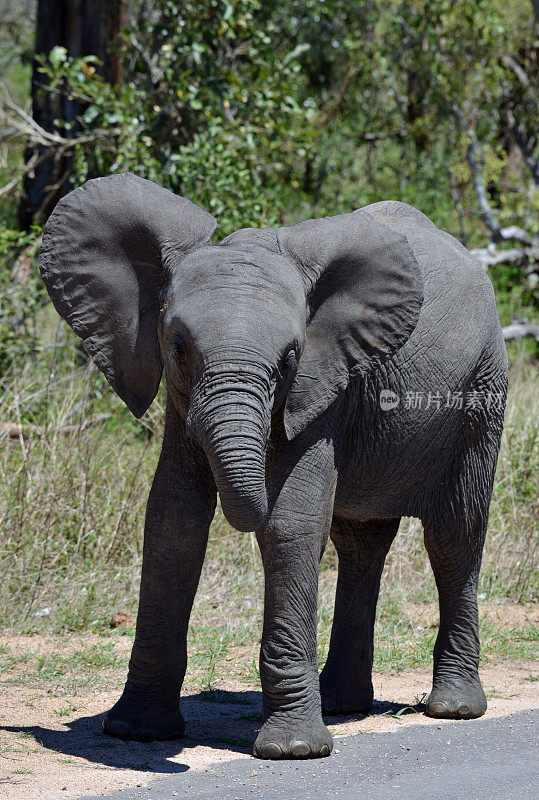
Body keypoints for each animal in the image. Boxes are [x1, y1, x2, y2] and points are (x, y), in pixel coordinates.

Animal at [40, 172, 508, 760]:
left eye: (289, 358)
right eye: (178, 346)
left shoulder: (327, 384)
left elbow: (291, 519)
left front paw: (293, 751)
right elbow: (174, 517)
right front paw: (135, 731)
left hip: (483, 390)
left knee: (454, 535)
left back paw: (453, 709)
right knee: (361, 543)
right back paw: (342, 704)